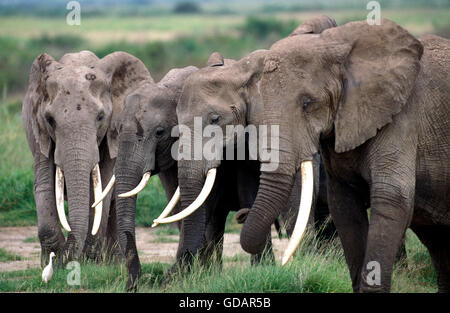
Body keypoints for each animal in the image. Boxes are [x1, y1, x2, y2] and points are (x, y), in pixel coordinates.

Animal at [22, 50, 151, 264]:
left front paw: (91, 260)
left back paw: (114, 262)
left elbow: (103, 185)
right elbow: (44, 182)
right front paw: (53, 258)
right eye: (50, 119)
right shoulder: (37, 129)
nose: (64, 257)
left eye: (100, 117)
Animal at [239, 18, 450, 292]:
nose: (242, 214)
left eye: (308, 103)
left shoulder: (402, 117)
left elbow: (392, 198)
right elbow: (344, 206)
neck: (337, 44)